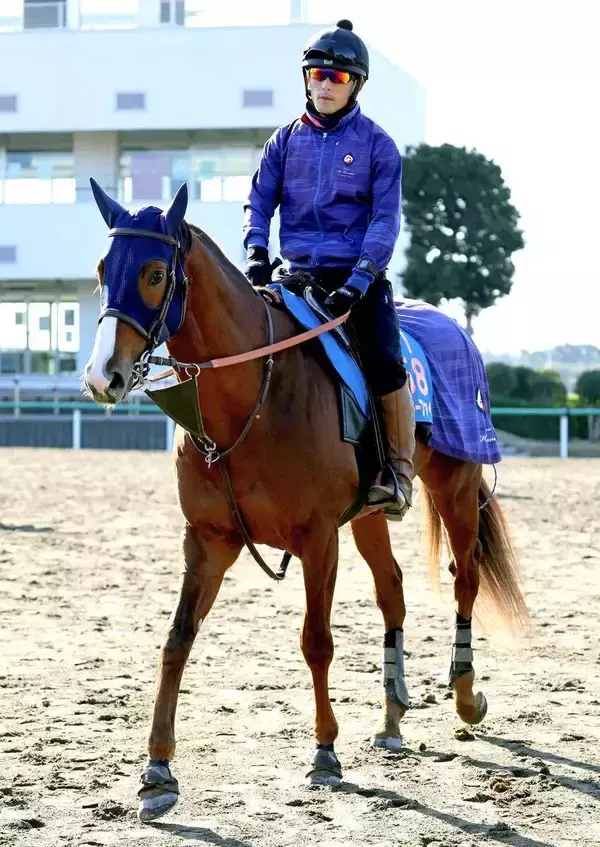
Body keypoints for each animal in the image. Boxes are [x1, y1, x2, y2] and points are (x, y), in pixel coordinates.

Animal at [83, 181, 528, 822]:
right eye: (101, 269)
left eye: (154, 272)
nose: (103, 376)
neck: (254, 399)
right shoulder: (208, 541)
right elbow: (177, 639)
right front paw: (158, 770)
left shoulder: (318, 539)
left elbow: (316, 642)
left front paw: (325, 753)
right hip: (370, 515)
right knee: (392, 590)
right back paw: (392, 716)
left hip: (457, 484)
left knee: (464, 576)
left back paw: (466, 695)